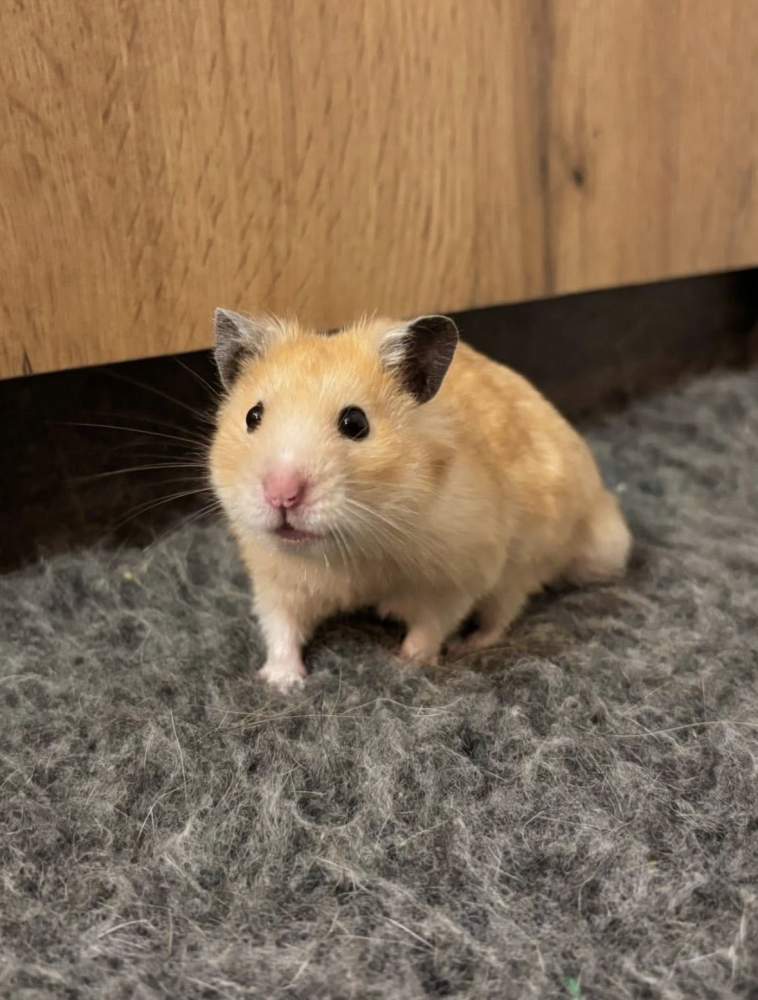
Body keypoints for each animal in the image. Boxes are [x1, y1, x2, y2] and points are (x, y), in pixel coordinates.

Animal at [209, 309, 631, 692]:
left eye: (355, 423)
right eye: (252, 416)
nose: (281, 494)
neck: (350, 545)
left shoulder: (457, 576)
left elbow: (431, 624)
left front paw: (408, 663)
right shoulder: (276, 578)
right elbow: (281, 625)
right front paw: (282, 682)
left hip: (528, 562)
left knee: (504, 611)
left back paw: (468, 645)